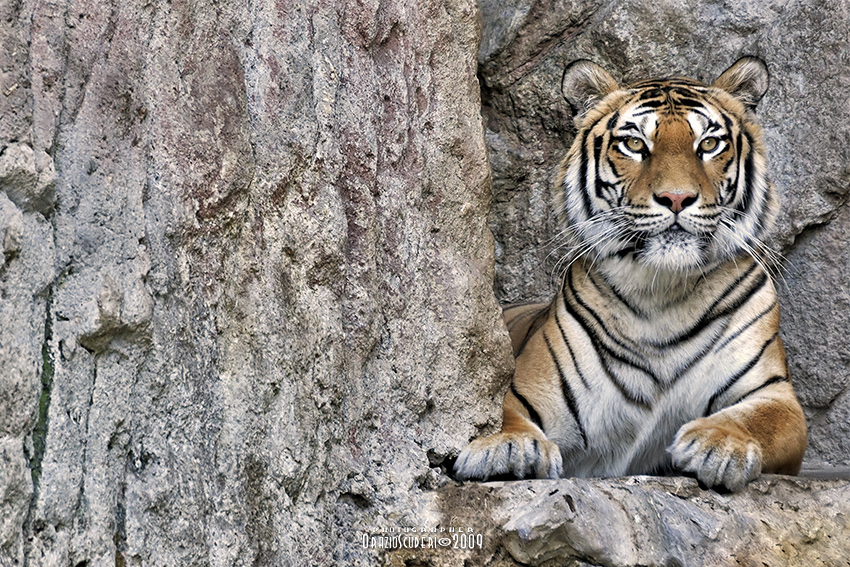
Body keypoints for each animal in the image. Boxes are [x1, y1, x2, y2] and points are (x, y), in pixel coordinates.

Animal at [454, 56, 807, 492]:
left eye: (709, 144)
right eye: (635, 144)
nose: (677, 197)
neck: (663, 294)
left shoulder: (776, 395)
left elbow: (757, 420)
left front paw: (718, 444)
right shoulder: (526, 387)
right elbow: (498, 411)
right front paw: (506, 447)